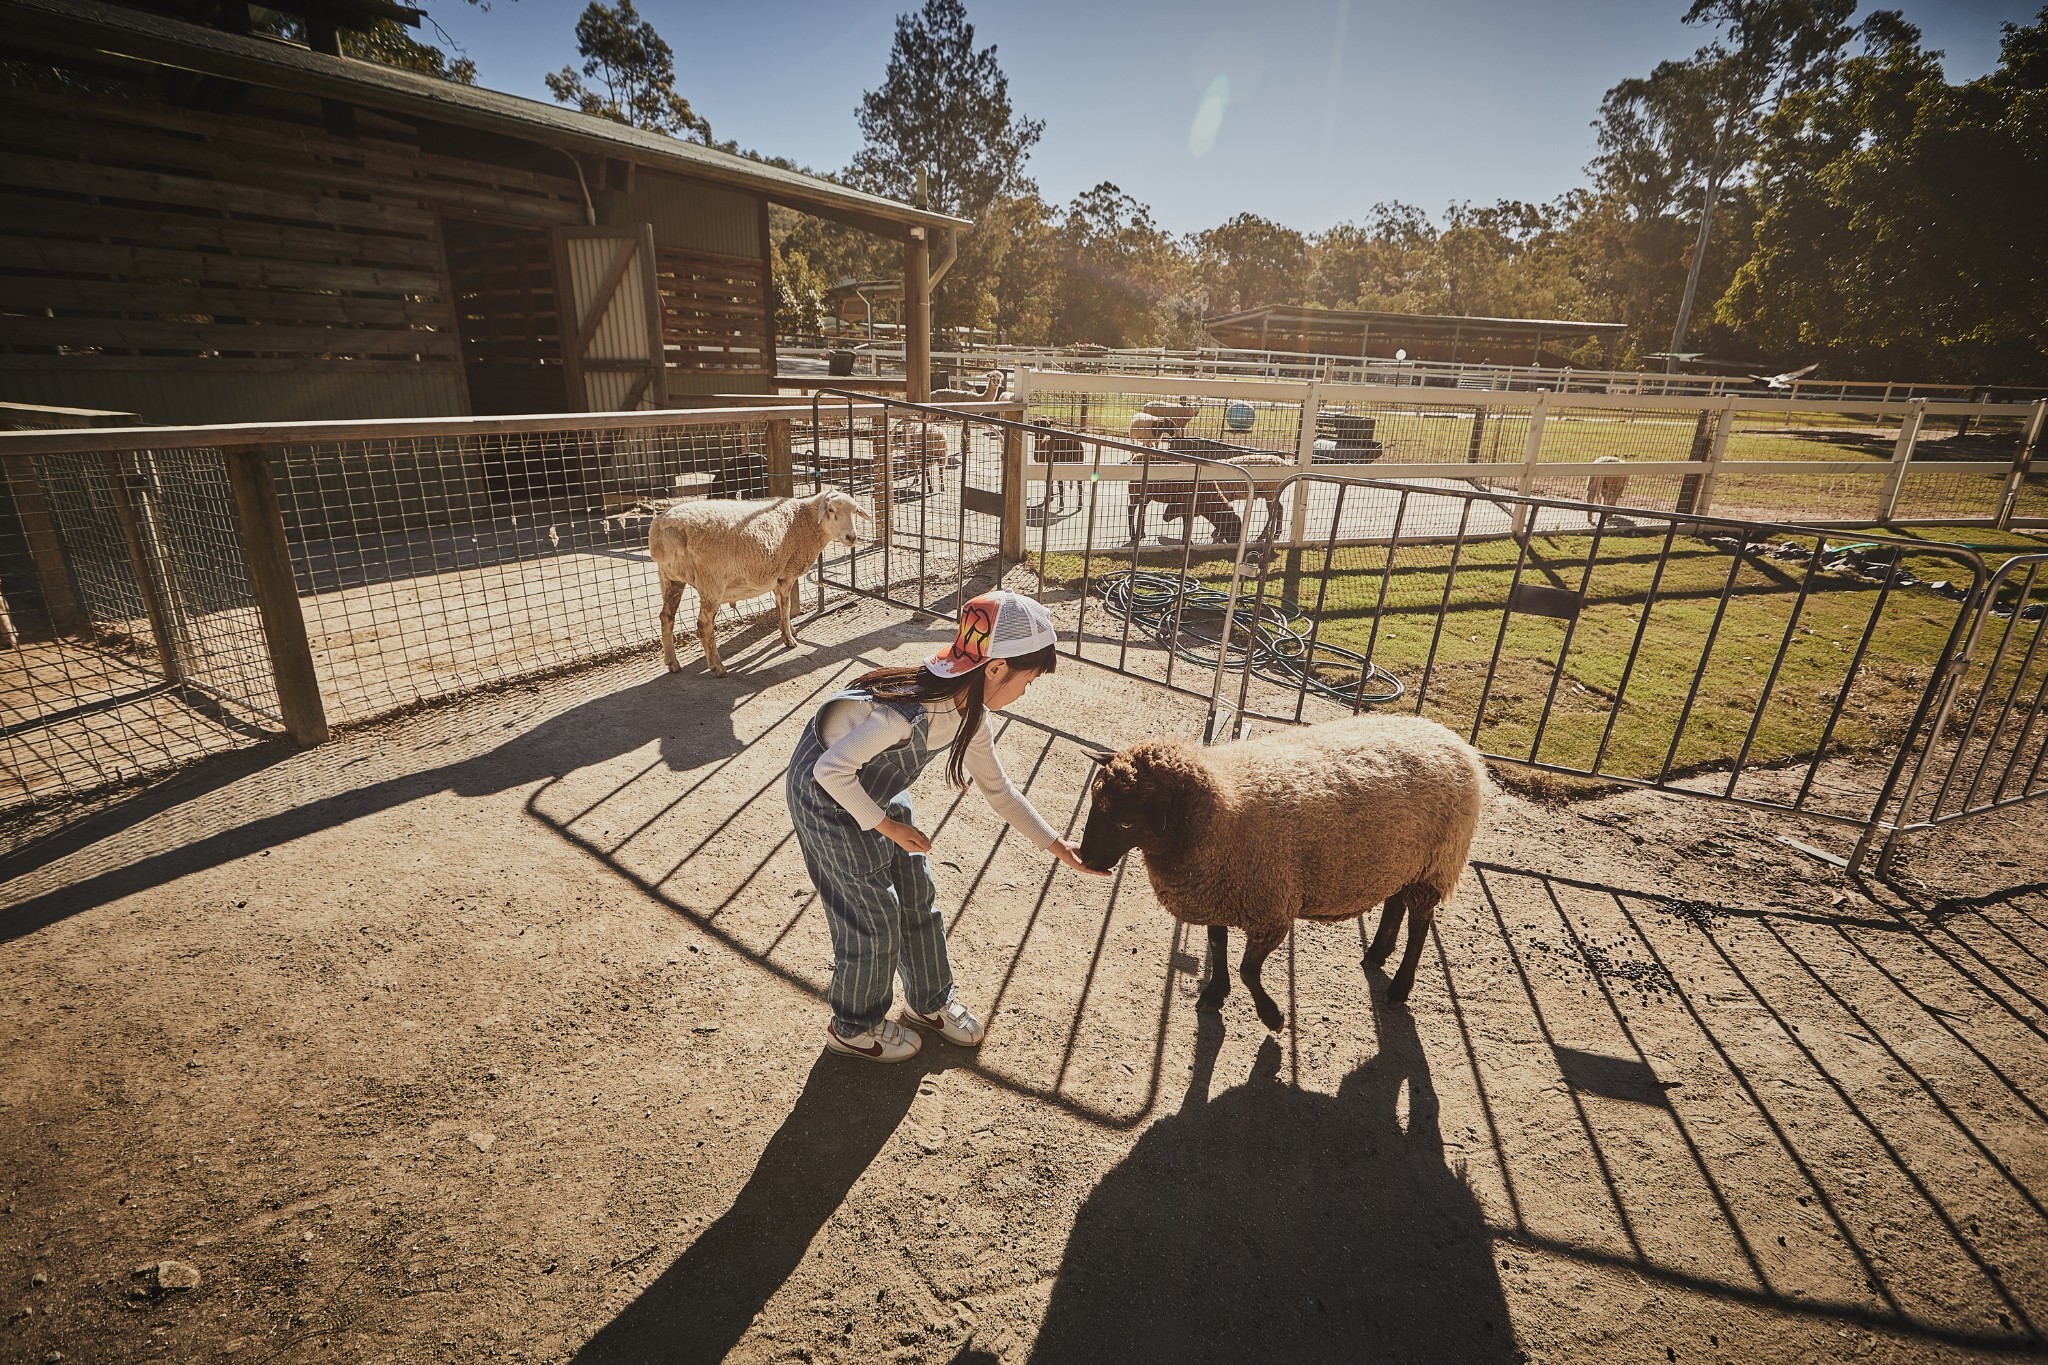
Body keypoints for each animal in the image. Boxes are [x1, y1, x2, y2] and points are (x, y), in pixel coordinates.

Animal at [651, 491, 868, 683]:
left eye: (855, 511)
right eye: (831, 509)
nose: (851, 537)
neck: (805, 521)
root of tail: (661, 529)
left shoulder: (775, 575)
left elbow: (781, 606)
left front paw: (789, 629)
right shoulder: (786, 574)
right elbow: (786, 606)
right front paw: (789, 640)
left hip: (670, 578)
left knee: (666, 617)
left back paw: (672, 663)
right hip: (711, 581)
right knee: (704, 624)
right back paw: (717, 667)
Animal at [1073, 716, 1490, 1023]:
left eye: (1126, 822)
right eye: (1094, 802)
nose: (1087, 859)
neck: (1221, 810)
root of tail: (1457, 742)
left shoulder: (1270, 910)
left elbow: (1248, 970)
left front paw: (1271, 1016)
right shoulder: (1219, 894)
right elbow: (1217, 946)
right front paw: (1215, 993)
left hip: (1436, 863)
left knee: (1420, 924)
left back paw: (1400, 987)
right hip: (1402, 860)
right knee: (1395, 901)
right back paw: (1376, 952)